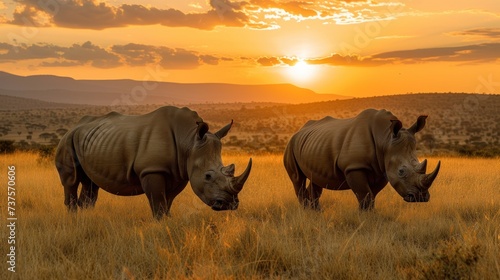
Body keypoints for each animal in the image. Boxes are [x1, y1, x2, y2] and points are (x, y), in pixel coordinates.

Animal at [53, 105, 254, 219]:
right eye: (208, 176)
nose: (230, 205)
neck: (189, 141)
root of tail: (74, 127)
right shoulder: (152, 170)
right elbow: (157, 202)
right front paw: (160, 224)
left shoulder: (179, 173)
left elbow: (167, 201)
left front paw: (168, 220)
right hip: (67, 141)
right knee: (71, 181)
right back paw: (73, 219)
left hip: (91, 141)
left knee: (91, 184)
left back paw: (85, 218)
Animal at [284, 109, 440, 210]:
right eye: (401, 171)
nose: (420, 198)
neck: (385, 138)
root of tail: (299, 130)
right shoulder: (354, 166)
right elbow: (365, 195)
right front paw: (366, 219)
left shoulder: (381, 169)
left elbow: (371, 195)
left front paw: (367, 216)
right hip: (291, 145)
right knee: (297, 178)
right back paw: (306, 212)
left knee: (316, 181)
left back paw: (316, 212)